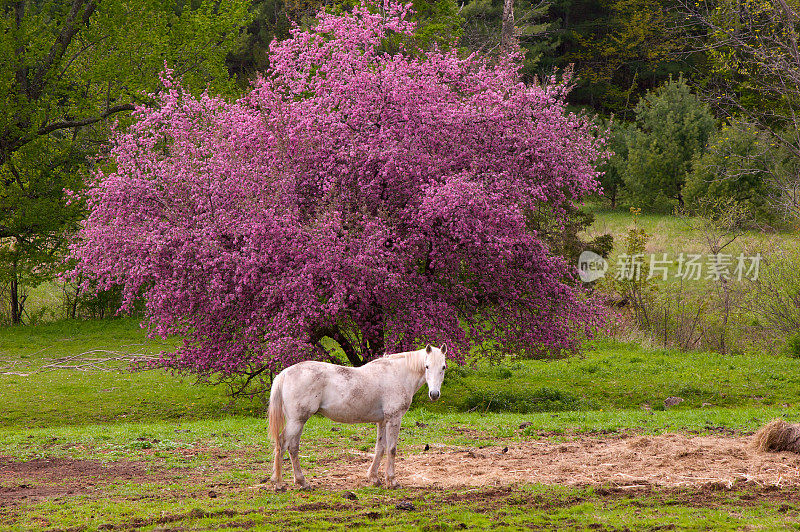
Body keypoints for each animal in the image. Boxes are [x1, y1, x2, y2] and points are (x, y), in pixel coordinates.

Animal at [268, 344, 444, 490]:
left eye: (443, 367)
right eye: (427, 366)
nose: (434, 394)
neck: (397, 374)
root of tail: (285, 373)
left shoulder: (382, 421)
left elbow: (380, 448)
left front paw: (374, 478)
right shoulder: (394, 418)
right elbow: (392, 449)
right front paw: (392, 481)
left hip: (298, 421)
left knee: (292, 447)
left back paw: (302, 482)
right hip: (296, 421)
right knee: (282, 445)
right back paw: (278, 483)